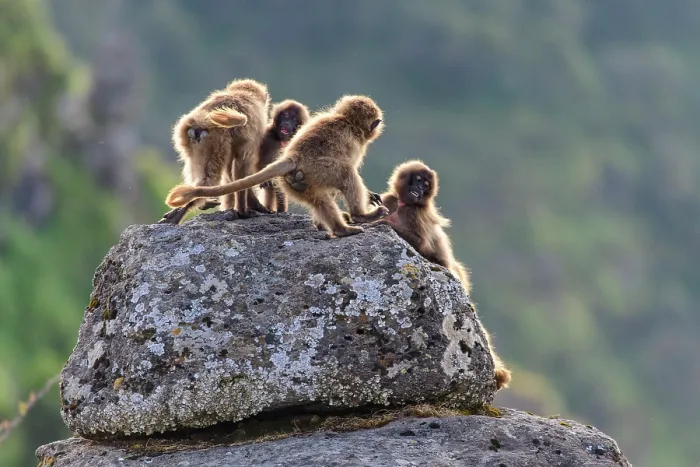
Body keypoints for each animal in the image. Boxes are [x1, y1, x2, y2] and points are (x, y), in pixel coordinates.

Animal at [159, 78, 271, 225]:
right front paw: (244, 211)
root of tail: (200, 121)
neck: (244, 95)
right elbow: (241, 167)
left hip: (190, 142)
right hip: (216, 142)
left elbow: (231, 172)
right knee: (209, 177)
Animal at [165, 95, 390, 237]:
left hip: (295, 181)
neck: (347, 121)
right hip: (318, 169)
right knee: (345, 174)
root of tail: (293, 157)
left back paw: (338, 229)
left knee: (318, 198)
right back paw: (359, 217)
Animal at [368, 160, 511, 389]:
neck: (403, 204)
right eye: (418, 180)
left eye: (426, 185)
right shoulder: (390, 200)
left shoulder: (415, 214)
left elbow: (419, 244)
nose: (419, 190)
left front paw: (381, 224)